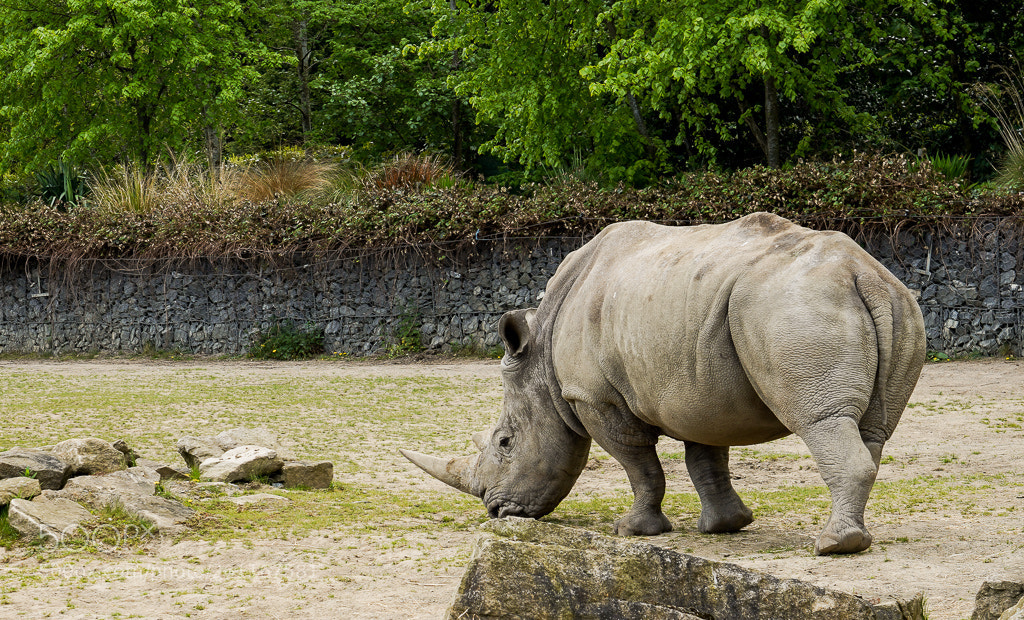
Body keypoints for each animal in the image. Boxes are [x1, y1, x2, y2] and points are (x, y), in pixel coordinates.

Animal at [402, 212, 926, 554]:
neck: (543, 362)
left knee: (820, 419)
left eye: (505, 442)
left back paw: (833, 545)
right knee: (872, 428)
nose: (496, 512)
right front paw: (725, 527)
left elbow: (639, 464)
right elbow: (706, 460)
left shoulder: (594, 398)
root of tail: (862, 273)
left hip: (791, 307)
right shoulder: (698, 387)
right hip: (894, 306)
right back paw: (853, 535)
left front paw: (633, 531)